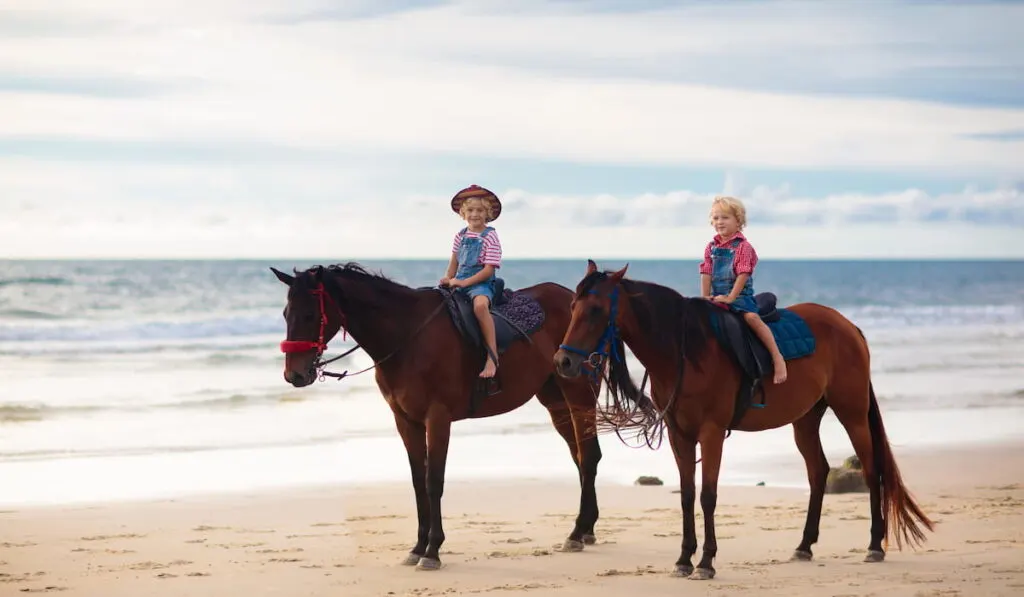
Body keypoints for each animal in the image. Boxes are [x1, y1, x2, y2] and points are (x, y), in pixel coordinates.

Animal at [270, 264, 630, 573]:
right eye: (286, 314)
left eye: (310, 314)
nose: (294, 375)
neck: (408, 335)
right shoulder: (406, 421)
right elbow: (418, 481)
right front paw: (417, 547)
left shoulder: (437, 418)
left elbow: (434, 482)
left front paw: (432, 551)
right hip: (554, 400)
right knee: (581, 456)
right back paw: (585, 529)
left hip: (578, 393)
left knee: (589, 456)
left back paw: (578, 532)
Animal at [557, 260, 933, 577]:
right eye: (572, 308)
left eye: (595, 309)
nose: (563, 361)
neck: (685, 352)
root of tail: (849, 326)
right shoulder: (680, 434)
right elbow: (687, 495)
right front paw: (684, 559)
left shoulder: (711, 432)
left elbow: (708, 496)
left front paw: (706, 562)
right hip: (805, 419)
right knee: (818, 473)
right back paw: (804, 545)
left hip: (851, 413)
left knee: (871, 471)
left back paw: (874, 545)